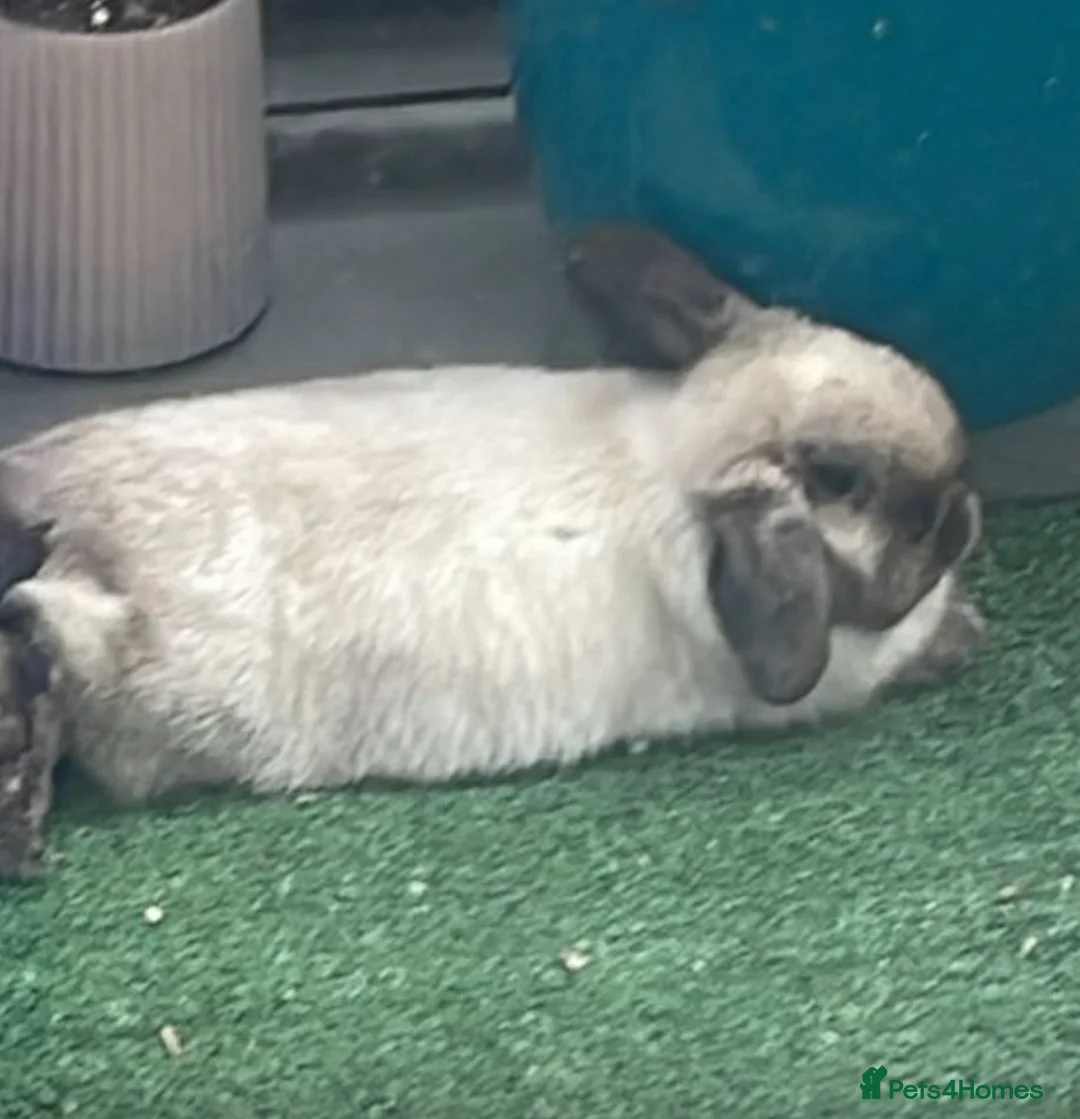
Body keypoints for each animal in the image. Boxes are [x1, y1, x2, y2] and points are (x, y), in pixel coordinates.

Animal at [0, 222, 985, 877]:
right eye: (869, 494)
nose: (967, 513)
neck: (676, 459)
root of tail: (69, 525)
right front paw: (962, 634)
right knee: (45, 645)